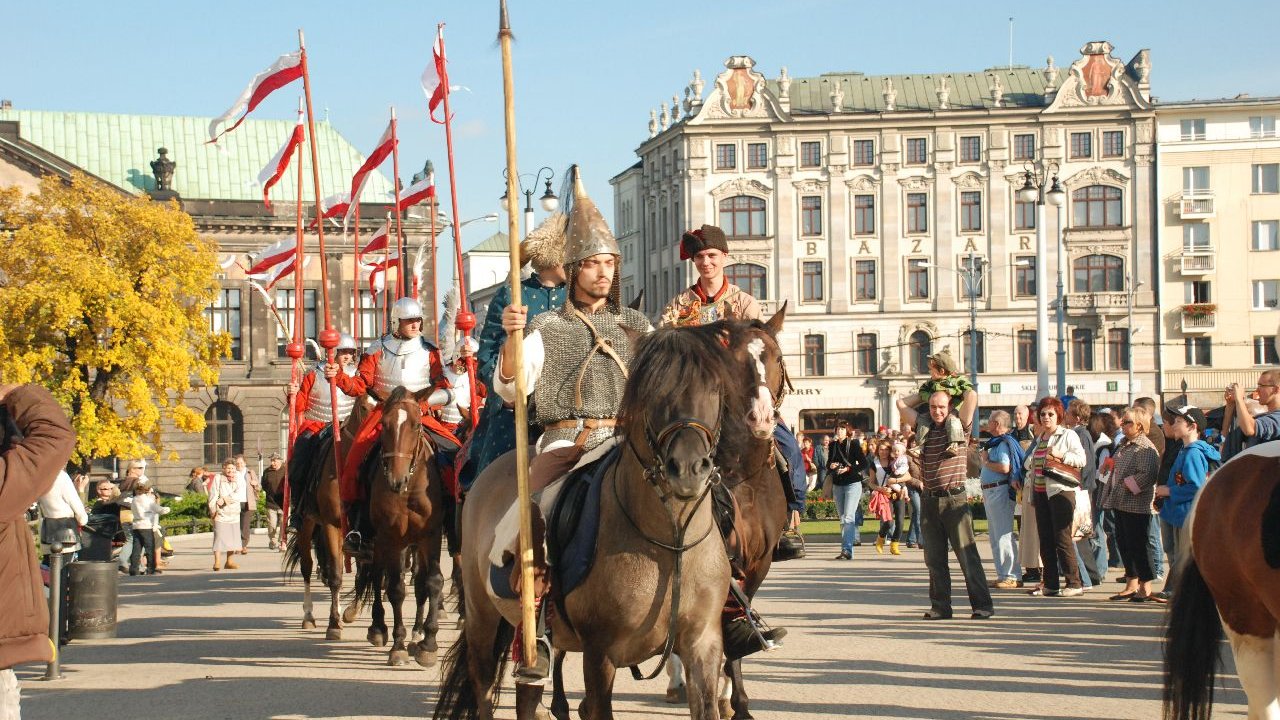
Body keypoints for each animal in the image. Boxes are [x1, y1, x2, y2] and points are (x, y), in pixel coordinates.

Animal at [435, 324, 747, 717]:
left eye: (714, 388)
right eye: (652, 390)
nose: (688, 469)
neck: (669, 543)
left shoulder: (702, 644)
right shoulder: (600, 654)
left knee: (527, 694)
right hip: (482, 619)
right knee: (483, 685)